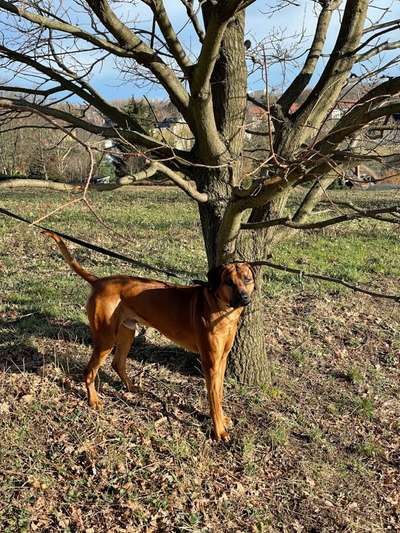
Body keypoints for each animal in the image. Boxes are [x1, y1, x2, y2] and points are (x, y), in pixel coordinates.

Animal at [43, 231, 255, 438]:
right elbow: (213, 398)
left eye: (247, 279)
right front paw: (219, 430)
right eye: (229, 282)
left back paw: (130, 387)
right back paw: (93, 400)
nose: (244, 298)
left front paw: (223, 419)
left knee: (117, 363)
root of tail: (99, 281)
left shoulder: (222, 359)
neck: (221, 309)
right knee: (89, 371)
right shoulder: (210, 362)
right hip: (106, 339)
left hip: (127, 331)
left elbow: (219, 393)